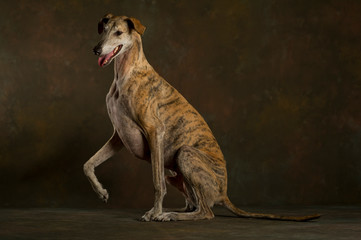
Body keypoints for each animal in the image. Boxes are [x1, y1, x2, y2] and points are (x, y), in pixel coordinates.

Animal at [83, 14, 320, 222]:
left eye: (119, 32)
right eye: (103, 30)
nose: (96, 50)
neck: (126, 73)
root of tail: (224, 193)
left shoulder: (154, 131)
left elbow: (157, 182)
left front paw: (153, 213)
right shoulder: (119, 137)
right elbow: (88, 164)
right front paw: (102, 192)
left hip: (186, 154)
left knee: (206, 211)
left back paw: (168, 215)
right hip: (176, 172)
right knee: (193, 203)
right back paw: (173, 211)